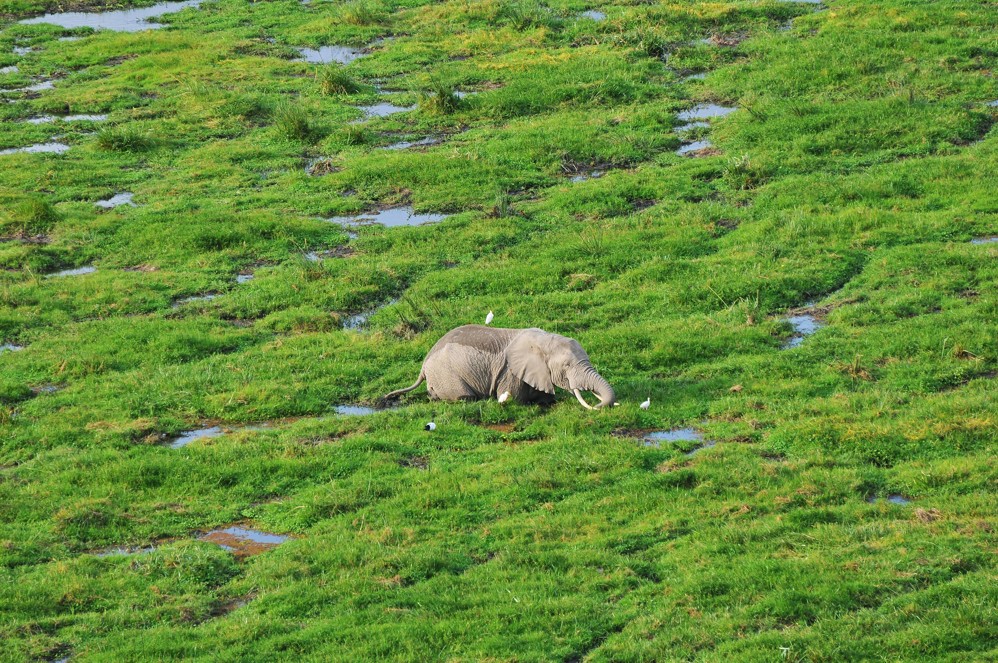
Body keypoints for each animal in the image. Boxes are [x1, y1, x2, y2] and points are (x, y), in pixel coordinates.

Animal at [384, 326, 612, 410]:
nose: (597, 405)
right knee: (465, 397)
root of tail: (423, 366)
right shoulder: (510, 372)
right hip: (447, 376)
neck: (543, 340)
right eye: (567, 366)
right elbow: (515, 399)